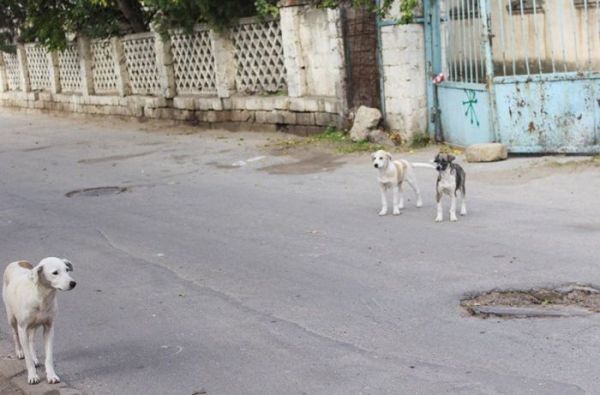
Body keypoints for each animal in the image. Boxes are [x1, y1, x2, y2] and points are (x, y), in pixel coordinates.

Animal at [2, 258, 76, 386]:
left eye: (67, 270)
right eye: (55, 273)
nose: (73, 283)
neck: (42, 297)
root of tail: (19, 261)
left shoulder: (49, 328)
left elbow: (49, 356)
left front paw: (51, 375)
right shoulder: (22, 329)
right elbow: (27, 359)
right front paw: (32, 376)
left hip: (34, 325)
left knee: (31, 340)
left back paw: (34, 357)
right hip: (11, 317)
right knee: (15, 334)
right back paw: (19, 352)